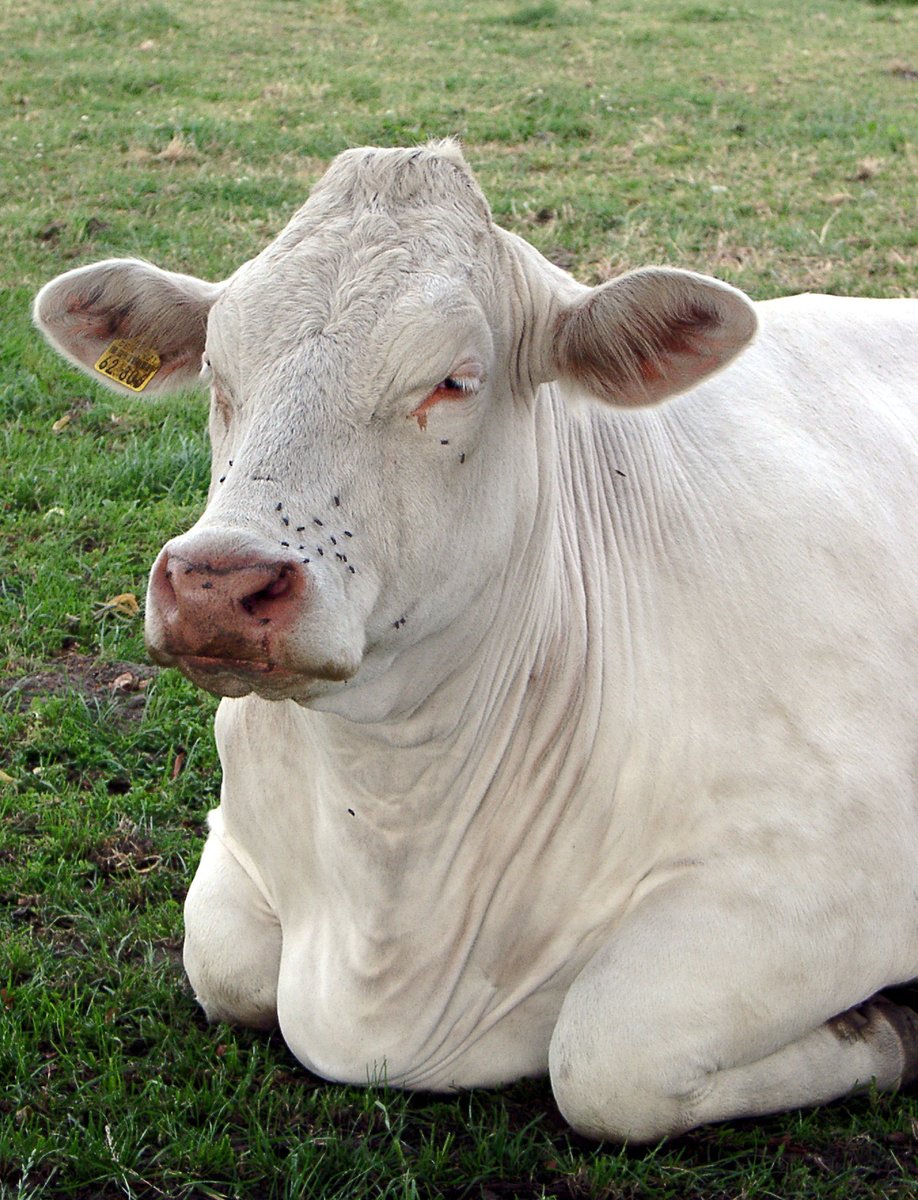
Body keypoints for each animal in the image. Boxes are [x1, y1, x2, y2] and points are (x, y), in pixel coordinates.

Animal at [34, 142, 916, 1142]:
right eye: (219, 371)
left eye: (453, 379)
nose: (218, 583)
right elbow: (222, 965)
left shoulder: (835, 874)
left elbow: (610, 1057)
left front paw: (884, 1029)